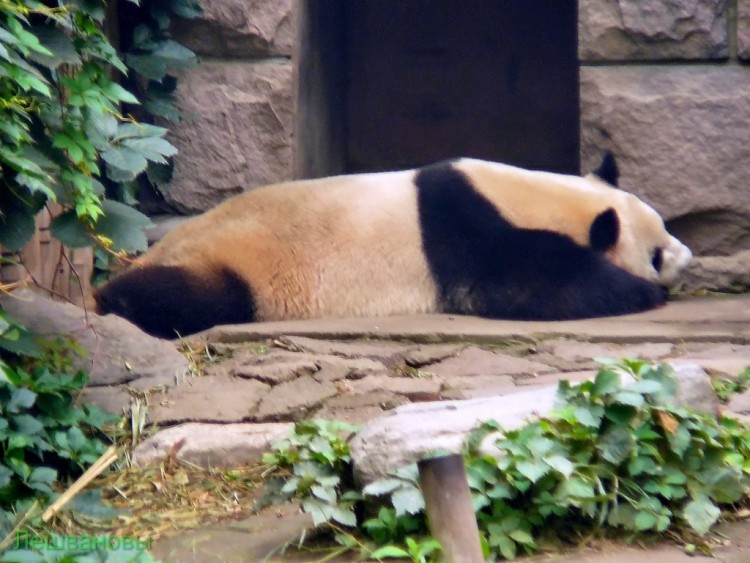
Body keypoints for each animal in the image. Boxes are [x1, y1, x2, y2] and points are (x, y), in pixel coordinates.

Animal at [94, 153, 692, 340]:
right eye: (656, 252)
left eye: (666, 229)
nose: (688, 259)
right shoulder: (472, 233)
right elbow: (526, 287)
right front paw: (641, 292)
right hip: (234, 265)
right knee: (191, 295)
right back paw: (108, 303)